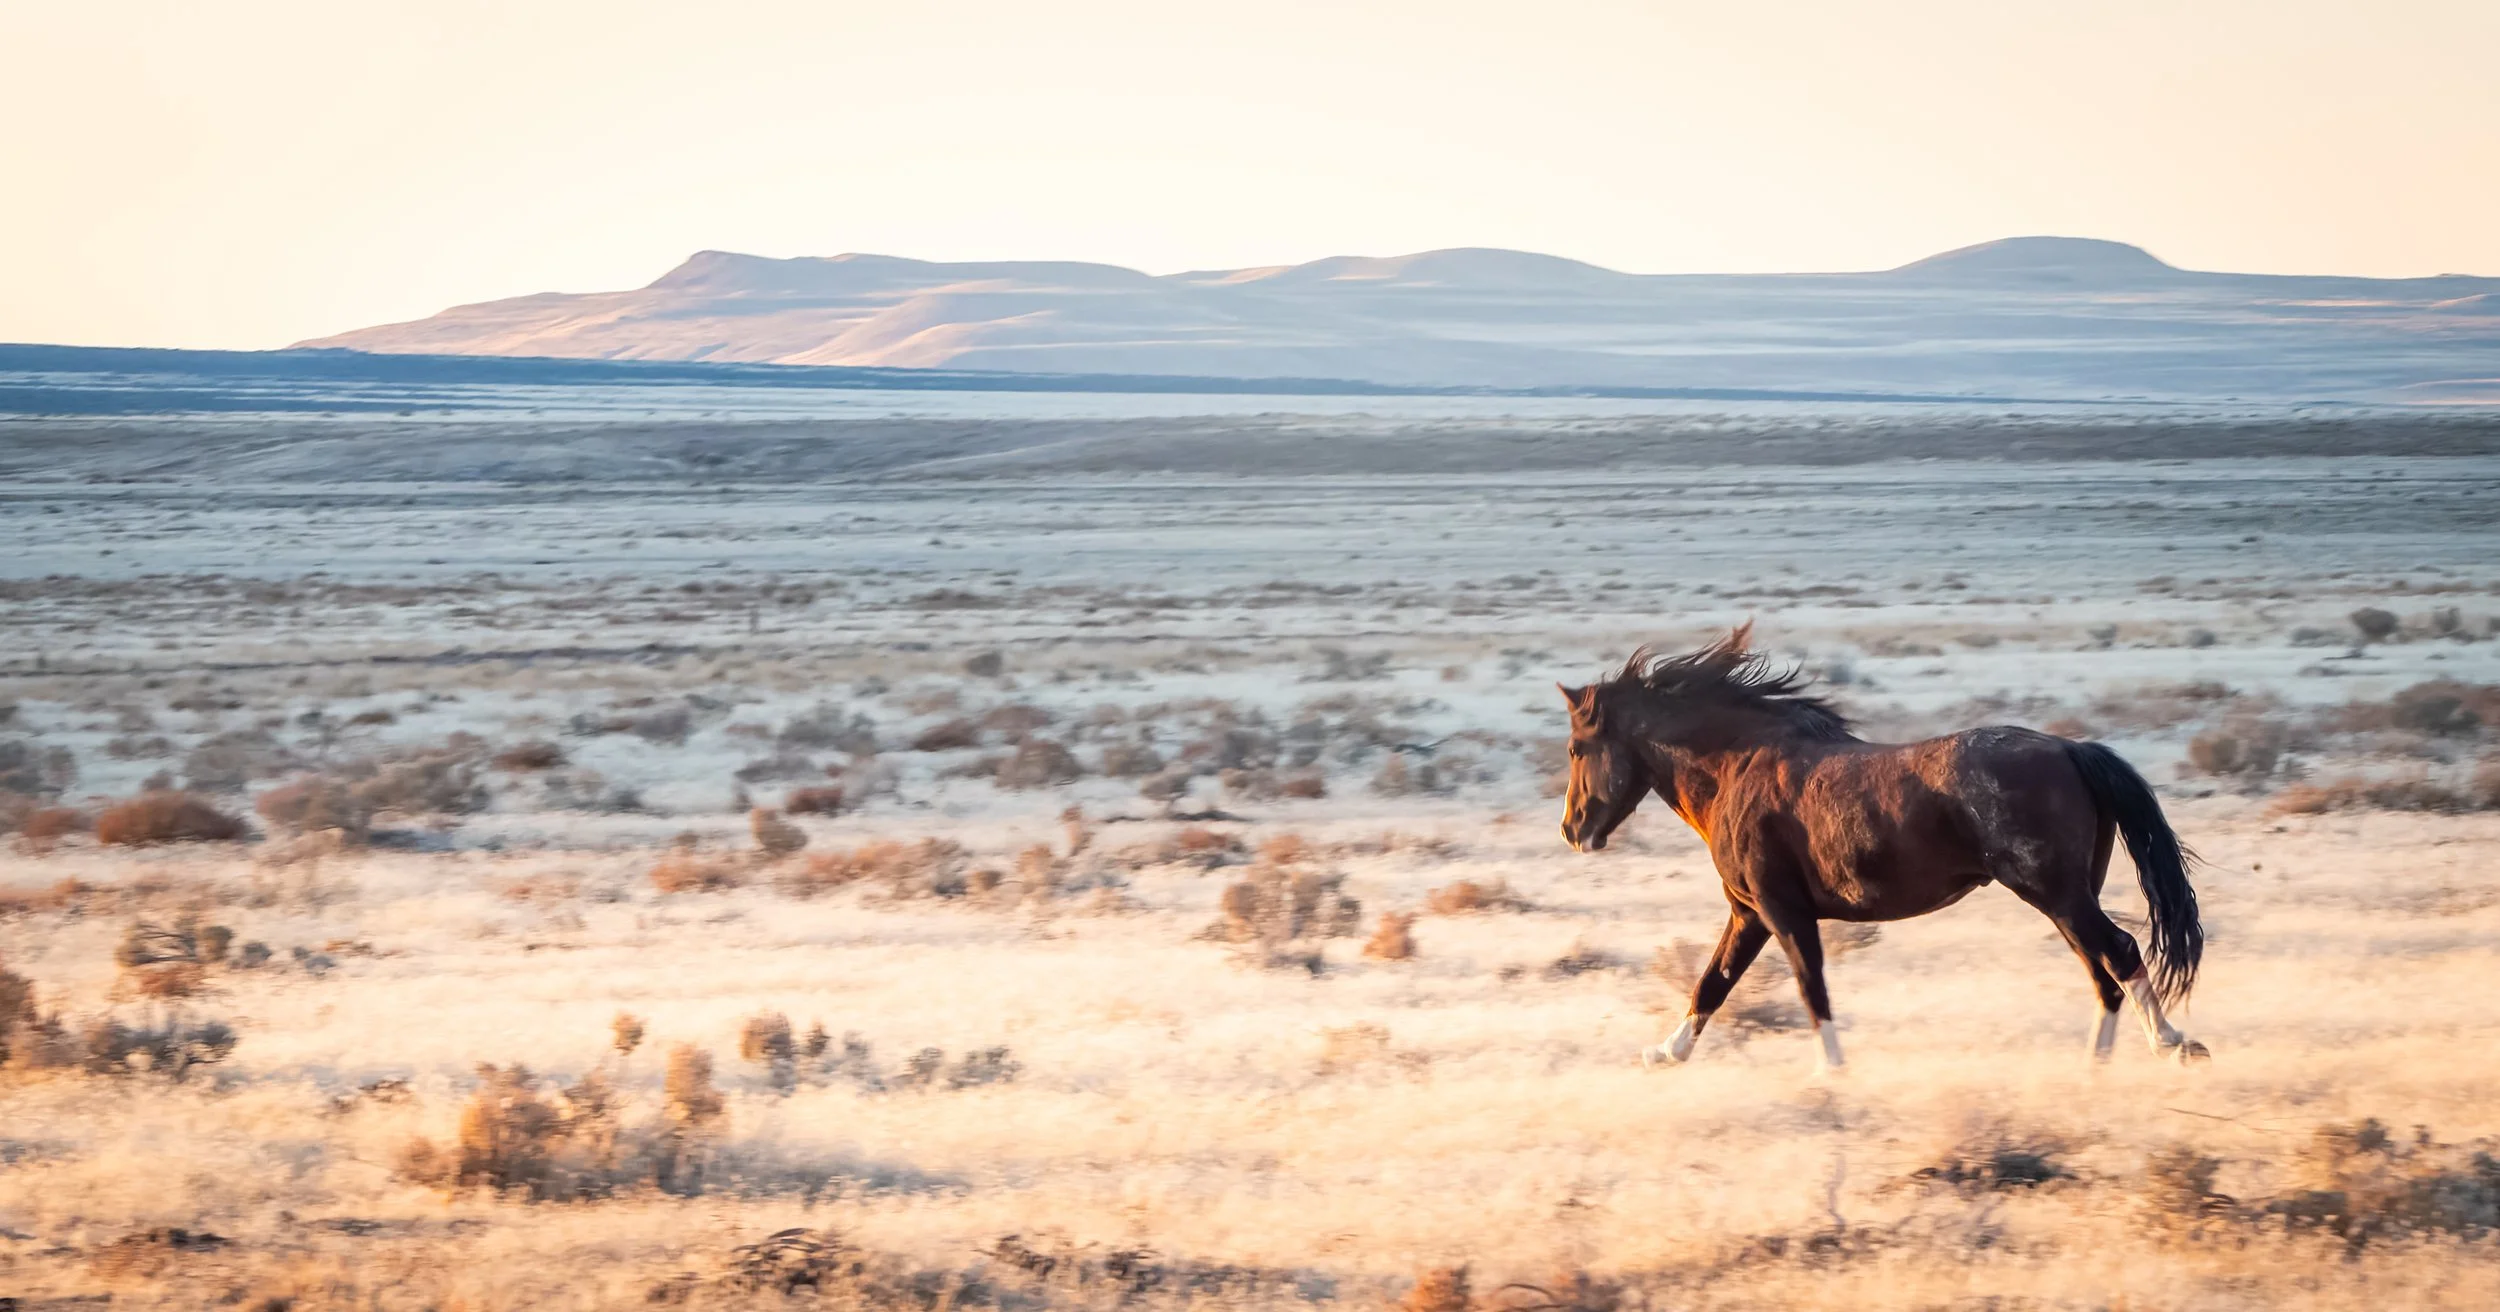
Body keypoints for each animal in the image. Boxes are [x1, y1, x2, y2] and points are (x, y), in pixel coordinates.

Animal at [1557, 625, 2206, 1072]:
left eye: (1575, 749)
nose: (1572, 830)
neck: (1736, 768)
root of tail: (2072, 749)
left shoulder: (1780, 911)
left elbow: (1809, 984)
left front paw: (1831, 1072)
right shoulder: (1748, 913)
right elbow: (1713, 981)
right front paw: (1665, 1053)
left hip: (2057, 893)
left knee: (2119, 952)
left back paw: (2173, 1044)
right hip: (2068, 898)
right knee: (2101, 973)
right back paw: (2093, 1067)